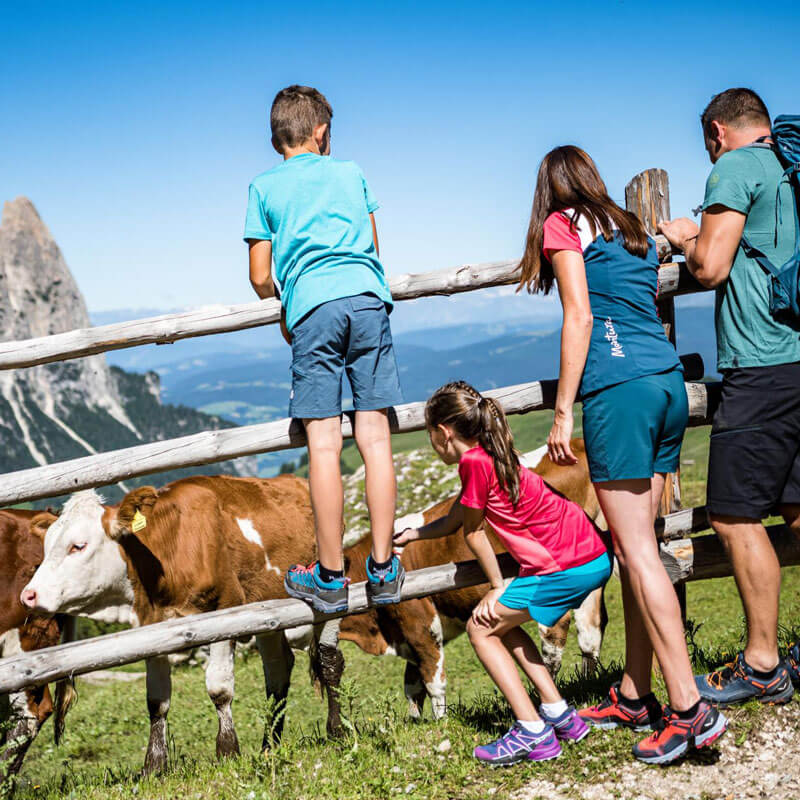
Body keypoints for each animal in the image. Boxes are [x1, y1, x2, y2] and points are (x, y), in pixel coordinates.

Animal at [21, 476, 340, 776]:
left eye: (78, 546)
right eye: (46, 547)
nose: (28, 595)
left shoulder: (225, 610)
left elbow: (219, 689)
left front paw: (228, 752)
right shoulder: (153, 628)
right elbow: (156, 700)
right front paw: (154, 766)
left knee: (328, 661)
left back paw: (337, 729)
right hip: (266, 611)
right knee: (277, 671)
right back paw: (269, 746)